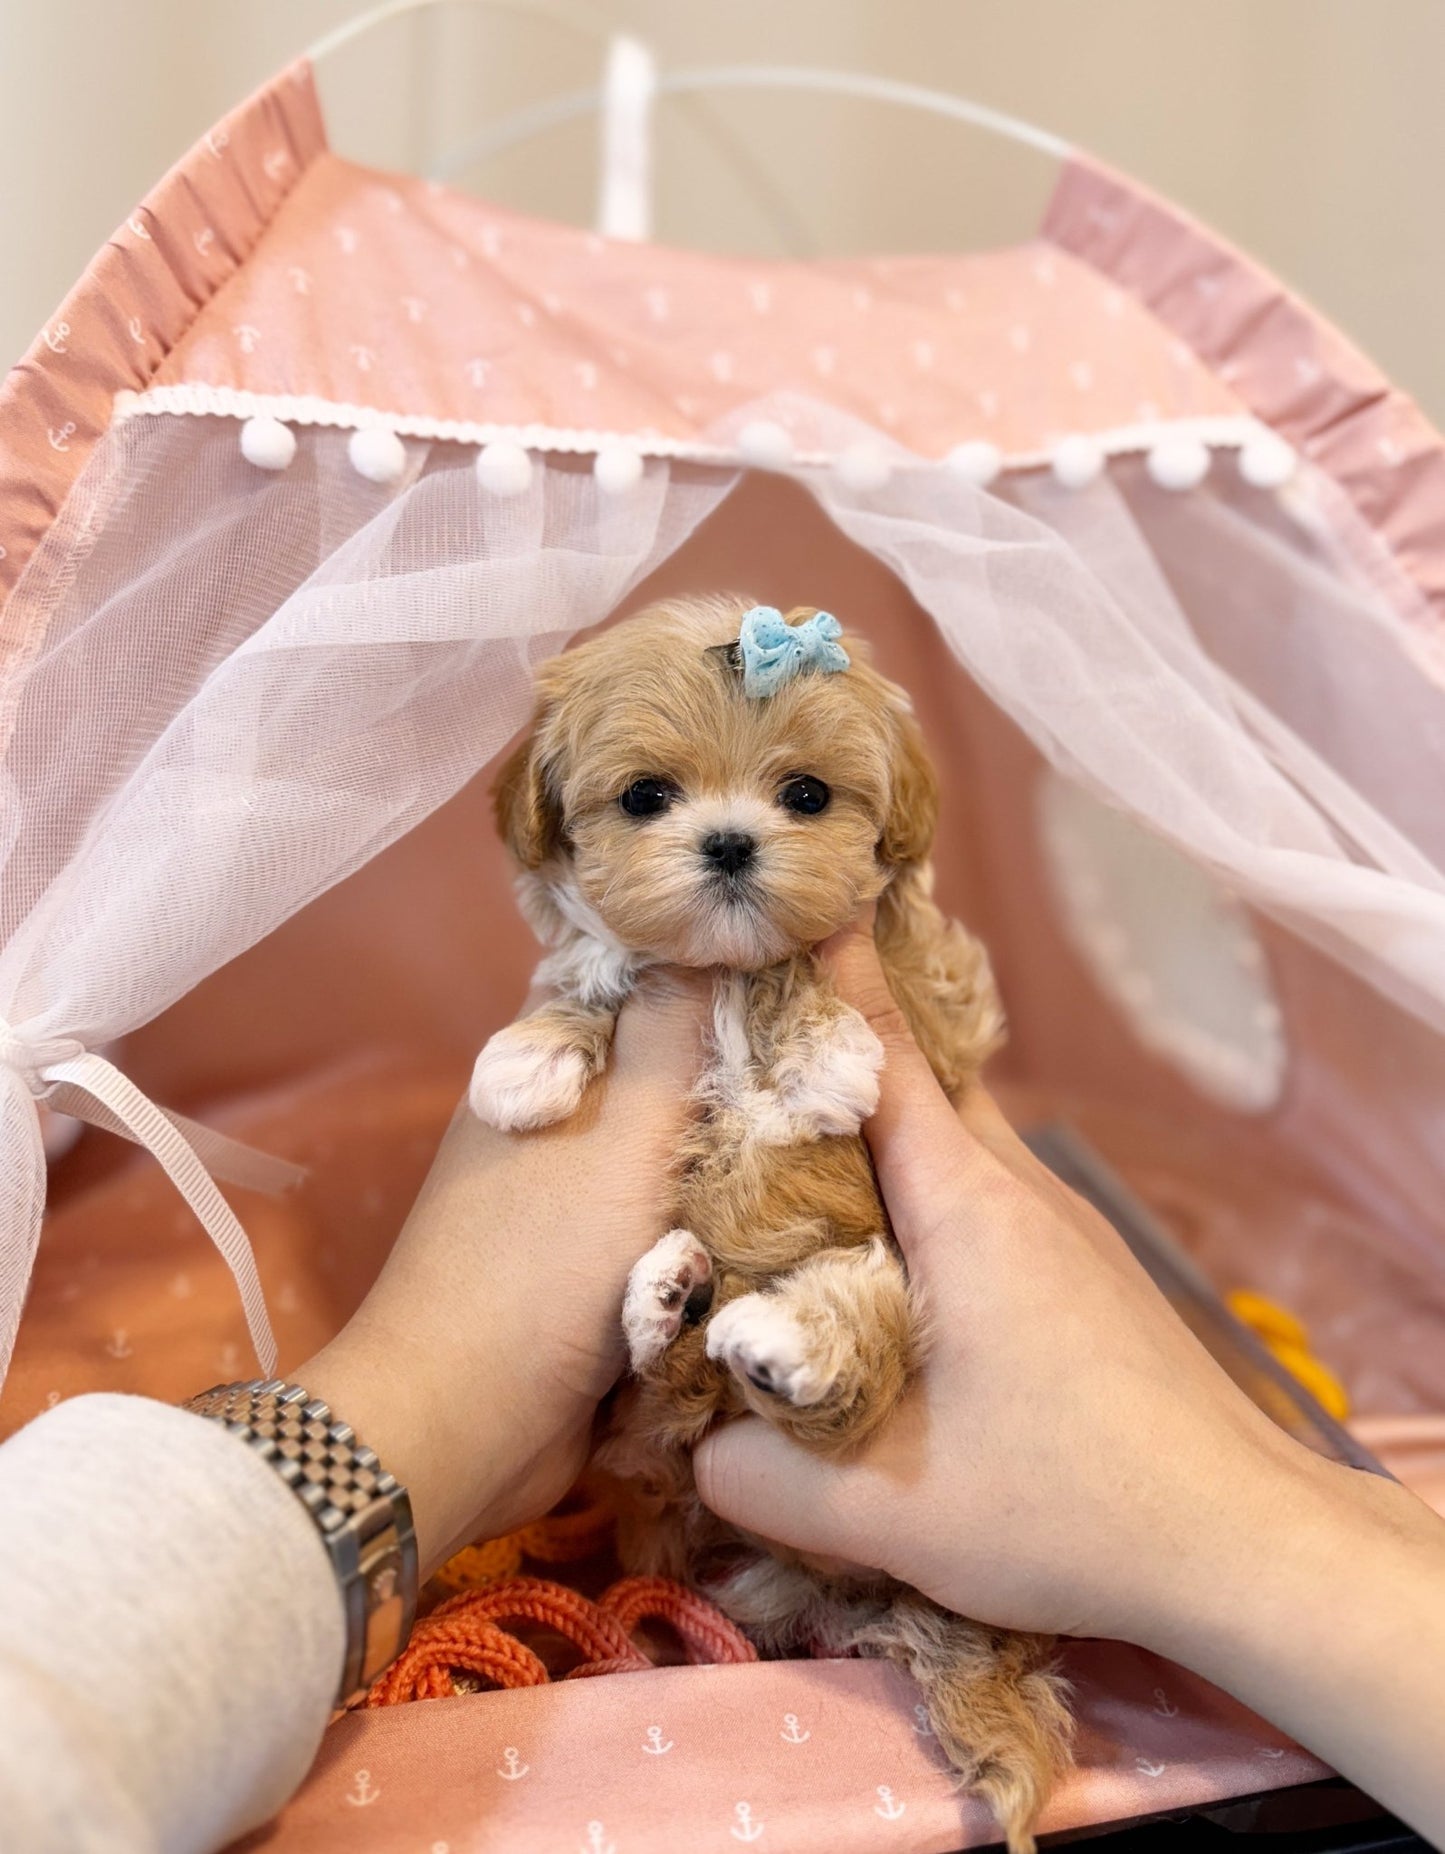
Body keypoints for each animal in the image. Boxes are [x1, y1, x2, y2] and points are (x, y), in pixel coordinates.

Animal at [474, 596, 1075, 1854]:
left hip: (878, 1281)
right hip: (655, 1447)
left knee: (845, 1356)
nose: (729, 845)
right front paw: (533, 1055)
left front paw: (823, 1056)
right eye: (646, 797)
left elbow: (811, 971)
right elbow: (595, 971)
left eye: (803, 795)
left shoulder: (924, 1000)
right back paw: (675, 1299)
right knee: (662, 1400)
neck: (716, 971)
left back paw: (779, 1342)